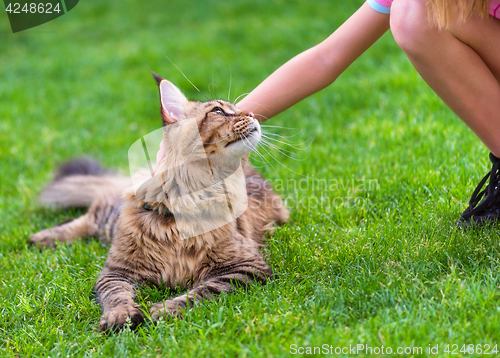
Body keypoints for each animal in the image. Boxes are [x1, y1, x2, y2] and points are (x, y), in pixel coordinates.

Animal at [29, 72, 290, 332]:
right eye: (218, 111)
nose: (253, 114)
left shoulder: (246, 267)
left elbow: (202, 293)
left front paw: (163, 310)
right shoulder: (117, 271)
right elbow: (116, 295)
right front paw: (121, 316)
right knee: (88, 218)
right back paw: (42, 238)